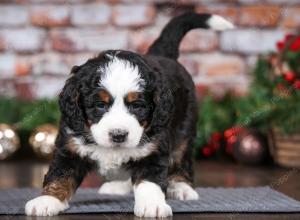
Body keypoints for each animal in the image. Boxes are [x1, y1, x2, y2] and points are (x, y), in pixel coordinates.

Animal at [24, 12, 233, 218]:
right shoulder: (69, 146)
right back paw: (117, 186)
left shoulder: (154, 149)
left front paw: (152, 205)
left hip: (185, 128)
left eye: (137, 106)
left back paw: (182, 187)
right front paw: (47, 200)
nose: (119, 135)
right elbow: (60, 174)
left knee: (182, 157)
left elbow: (150, 181)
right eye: (100, 105)